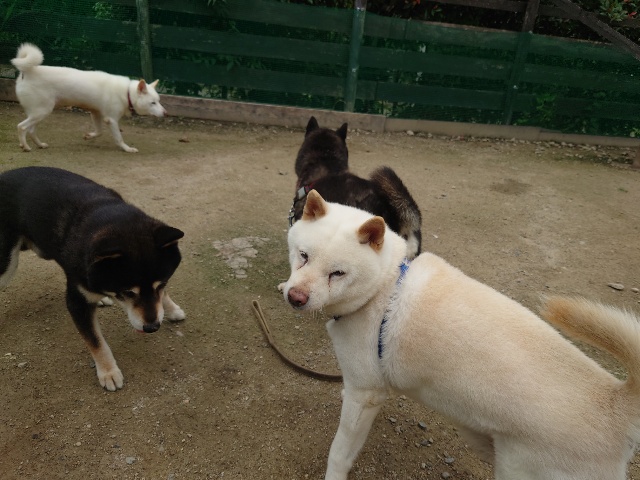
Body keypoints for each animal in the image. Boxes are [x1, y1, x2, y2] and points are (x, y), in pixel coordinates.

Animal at [0, 166, 185, 391]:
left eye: (162, 284)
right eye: (127, 292)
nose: (152, 328)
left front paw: (171, 308)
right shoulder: (77, 301)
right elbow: (96, 342)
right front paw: (108, 372)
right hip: (7, 263)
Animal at [11, 43, 167, 153]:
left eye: (159, 101)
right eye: (153, 103)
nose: (165, 113)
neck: (126, 92)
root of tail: (28, 71)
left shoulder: (96, 113)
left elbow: (99, 132)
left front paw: (88, 136)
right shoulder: (111, 120)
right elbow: (119, 138)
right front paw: (127, 149)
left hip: (39, 113)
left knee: (31, 130)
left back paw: (40, 145)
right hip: (42, 111)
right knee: (21, 127)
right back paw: (25, 147)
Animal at [283, 190, 640, 480]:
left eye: (338, 273)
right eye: (303, 255)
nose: (295, 297)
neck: (383, 287)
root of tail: (615, 403)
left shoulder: (365, 394)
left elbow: (339, 453)